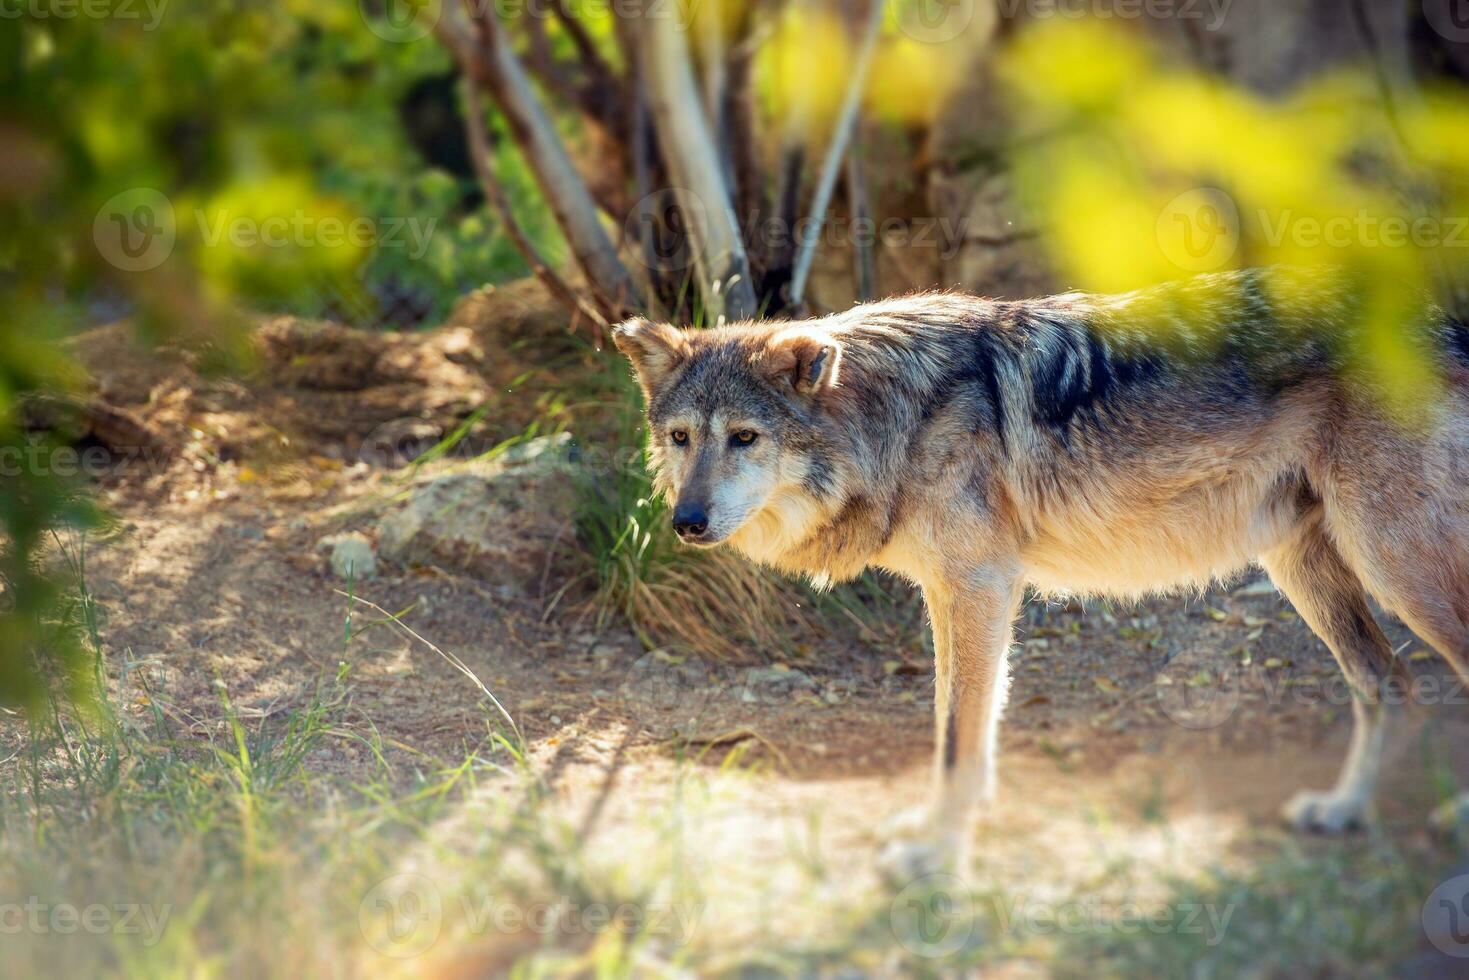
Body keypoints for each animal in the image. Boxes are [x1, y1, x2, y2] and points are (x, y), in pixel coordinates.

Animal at [611, 268, 1469, 881]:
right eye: (682, 437)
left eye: (745, 438)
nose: (686, 522)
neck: (897, 419)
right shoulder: (951, 593)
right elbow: (956, 726)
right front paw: (942, 829)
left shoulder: (980, 587)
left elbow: (958, 738)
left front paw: (934, 857)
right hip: (1307, 569)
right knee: (1388, 680)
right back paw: (1343, 809)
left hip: (1393, 565)